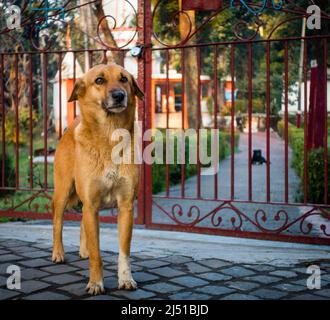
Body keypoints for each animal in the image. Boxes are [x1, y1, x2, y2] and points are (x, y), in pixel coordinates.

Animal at [51, 63, 143, 296]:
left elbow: (124, 252)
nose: (119, 95)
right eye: (99, 80)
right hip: (63, 193)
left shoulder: (125, 206)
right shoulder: (91, 204)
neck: (110, 136)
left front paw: (126, 279)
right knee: (57, 222)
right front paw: (95, 283)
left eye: (124, 79)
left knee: (82, 224)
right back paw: (58, 253)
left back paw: (83, 251)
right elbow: (96, 254)